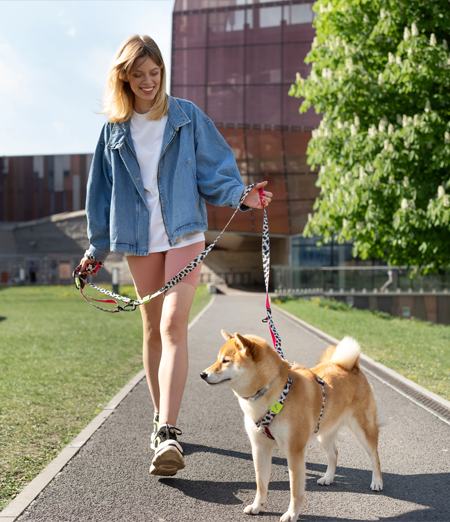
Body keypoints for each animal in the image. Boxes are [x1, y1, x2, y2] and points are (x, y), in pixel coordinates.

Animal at [200, 332, 384, 516]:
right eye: (218, 359)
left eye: (226, 361)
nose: (202, 374)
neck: (272, 391)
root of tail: (351, 367)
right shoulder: (260, 448)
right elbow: (261, 483)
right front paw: (257, 506)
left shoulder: (294, 451)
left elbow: (295, 489)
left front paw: (291, 514)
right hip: (324, 433)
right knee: (334, 454)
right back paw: (328, 478)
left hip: (363, 429)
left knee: (374, 456)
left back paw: (377, 481)